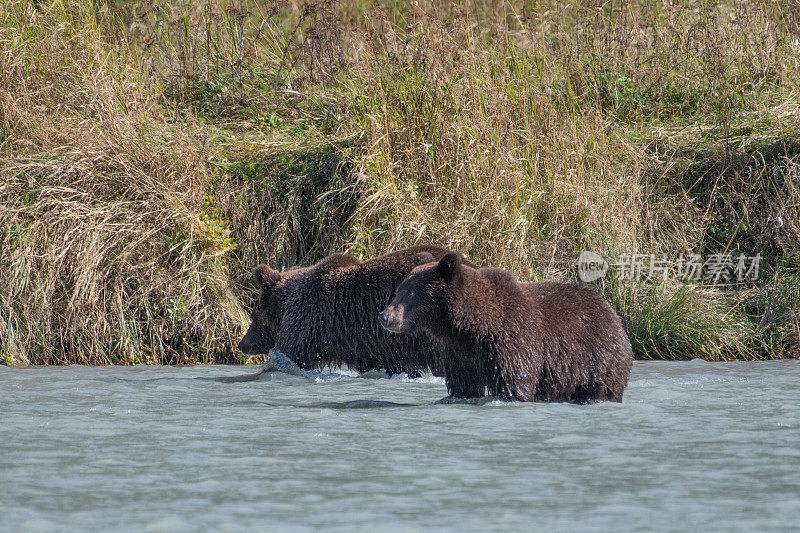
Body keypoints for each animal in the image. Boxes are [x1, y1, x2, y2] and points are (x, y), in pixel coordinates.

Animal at [378, 251, 636, 402]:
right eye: (398, 290)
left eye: (411, 293)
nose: (384, 316)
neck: (469, 327)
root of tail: (612, 312)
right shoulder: (460, 353)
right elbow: (463, 385)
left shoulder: (511, 342)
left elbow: (514, 382)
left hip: (599, 358)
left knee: (603, 387)